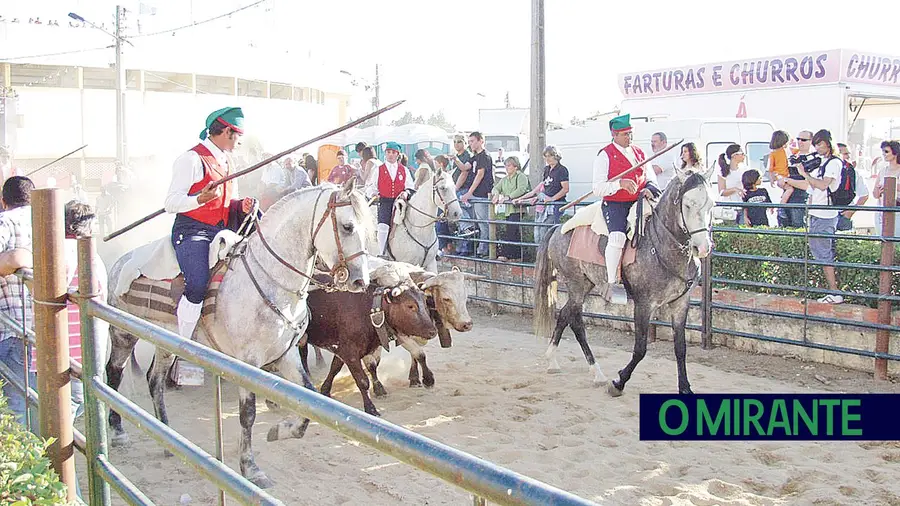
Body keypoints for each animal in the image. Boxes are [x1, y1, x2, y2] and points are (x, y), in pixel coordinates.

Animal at [103, 180, 370, 488]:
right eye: (347, 226)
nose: (361, 281)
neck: (269, 279)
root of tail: (120, 261)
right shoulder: (247, 362)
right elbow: (248, 415)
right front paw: (250, 468)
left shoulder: (285, 355)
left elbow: (308, 399)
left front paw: (280, 430)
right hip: (123, 334)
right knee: (114, 373)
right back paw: (118, 431)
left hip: (165, 343)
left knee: (154, 381)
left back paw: (165, 434)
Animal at [536, 165, 716, 396]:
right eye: (688, 204)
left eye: (711, 204)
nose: (703, 248)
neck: (660, 245)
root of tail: (558, 229)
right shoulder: (644, 304)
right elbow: (640, 349)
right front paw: (619, 381)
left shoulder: (680, 304)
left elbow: (680, 348)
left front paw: (685, 388)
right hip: (575, 284)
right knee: (575, 321)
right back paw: (596, 372)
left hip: (586, 285)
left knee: (565, 315)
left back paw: (556, 362)